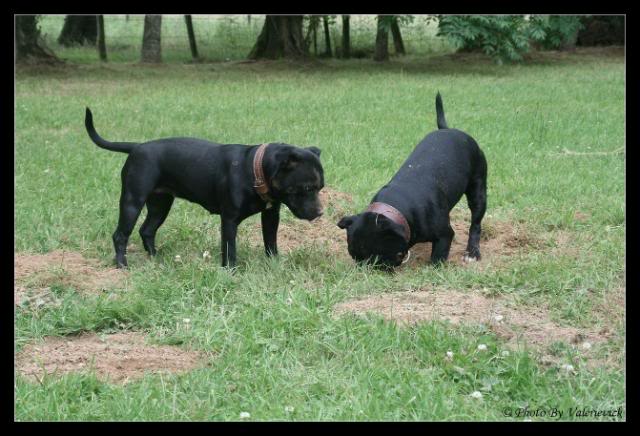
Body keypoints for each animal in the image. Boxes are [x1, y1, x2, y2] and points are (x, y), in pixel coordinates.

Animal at [85, 107, 324, 268]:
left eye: (321, 187)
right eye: (307, 188)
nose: (321, 212)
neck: (255, 169)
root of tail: (136, 147)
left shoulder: (271, 215)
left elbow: (271, 242)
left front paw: (274, 264)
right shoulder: (229, 220)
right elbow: (229, 249)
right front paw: (231, 271)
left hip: (160, 204)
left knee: (147, 230)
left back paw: (155, 257)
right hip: (132, 201)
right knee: (120, 235)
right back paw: (122, 265)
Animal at [338, 93, 488, 268]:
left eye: (377, 259)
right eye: (354, 255)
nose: (365, 269)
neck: (397, 210)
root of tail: (447, 129)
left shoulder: (444, 235)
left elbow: (438, 256)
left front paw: (434, 268)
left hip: (478, 189)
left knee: (476, 223)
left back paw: (472, 252)